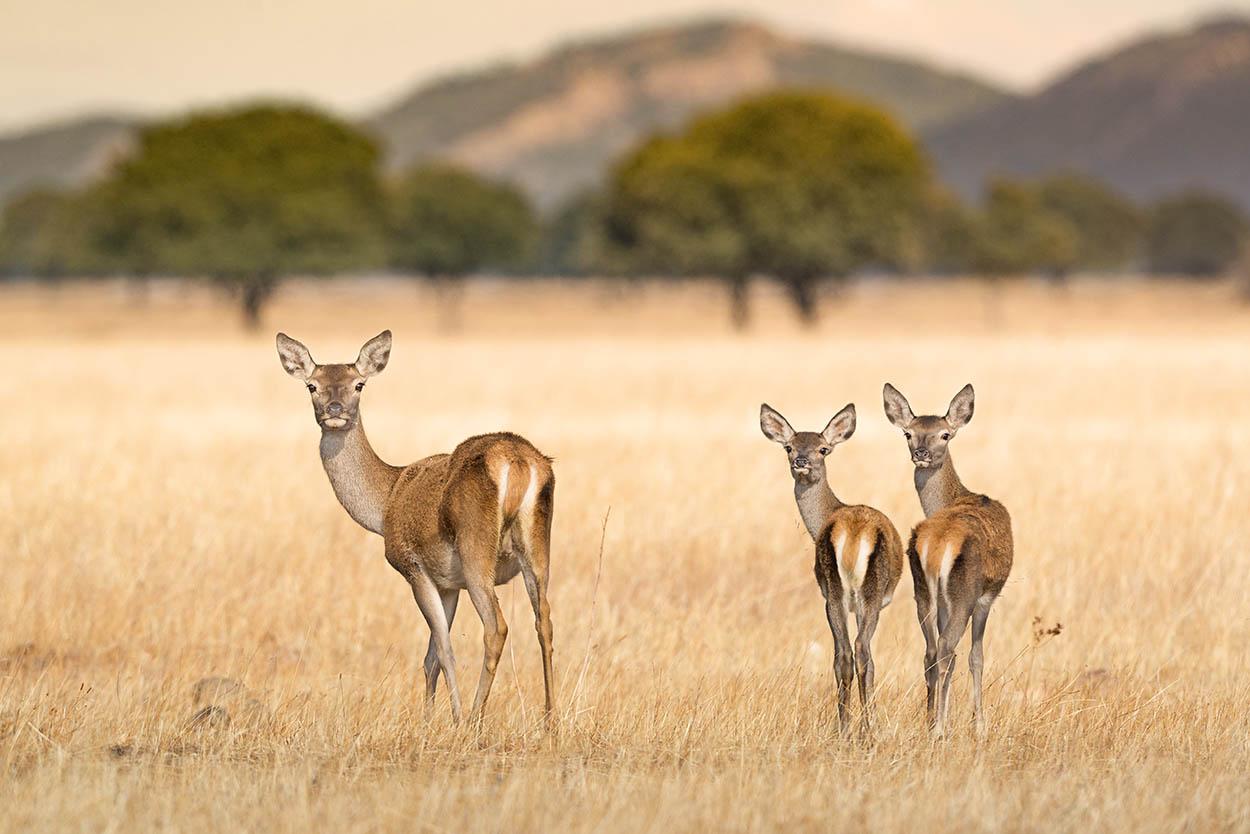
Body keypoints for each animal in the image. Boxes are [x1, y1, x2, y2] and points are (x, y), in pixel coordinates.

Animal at [281, 332, 560, 725]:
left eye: (359, 384)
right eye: (312, 385)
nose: (335, 409)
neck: (386, 502)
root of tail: (518, 463)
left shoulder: (415, 568)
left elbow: (442, 650)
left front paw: (453, 718)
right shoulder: (449, 583)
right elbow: (430, 659)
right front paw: (428, 719)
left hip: (476, 551)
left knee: (496, 627)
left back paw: (475, 719)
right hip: (538, 547)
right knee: (544, 621)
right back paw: (551, 719)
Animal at [760, 405, 900, 735]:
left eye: (823, 448)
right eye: (788, 447)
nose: (801, 460)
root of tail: (852, 533)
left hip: (834, 592)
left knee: (844, 654)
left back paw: (845, 728)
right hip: (867, 593)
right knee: (862, 651)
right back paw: (866, 729)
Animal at [885, 382, 1010, 740]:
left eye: (944, 434)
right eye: (908, 433)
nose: (921, 453)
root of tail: (937, 545)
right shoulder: (986, 597)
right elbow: (976, 657)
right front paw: (979, 725)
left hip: (922, 594)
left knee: (930, 651)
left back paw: (933, 722)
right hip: (962, 594)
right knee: (945, 650)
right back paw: (940, 729)